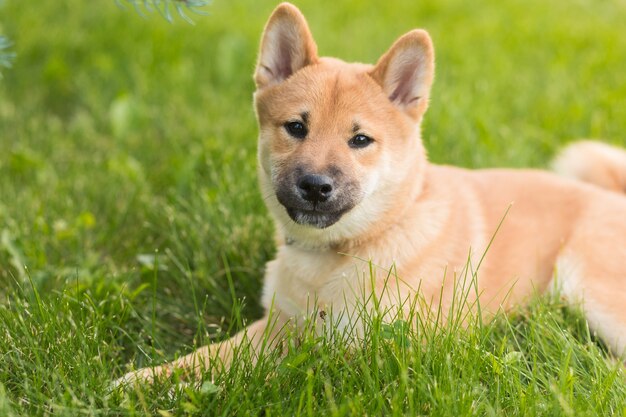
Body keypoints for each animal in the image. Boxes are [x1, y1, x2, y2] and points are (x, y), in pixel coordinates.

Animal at [117, 1, 624, 384]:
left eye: (360, 140)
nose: (315, 186)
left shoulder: (381, 352)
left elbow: (273, 375)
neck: (340, 254)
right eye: (296, 128)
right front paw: (147, 380)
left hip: (592, 291)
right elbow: (214, 355)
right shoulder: (277, 326)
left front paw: (195, 391)